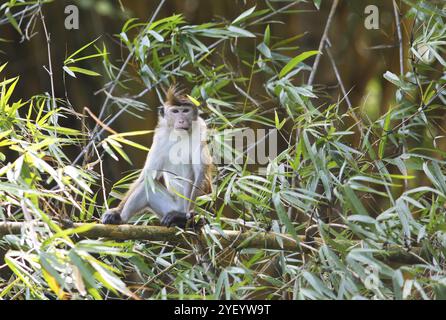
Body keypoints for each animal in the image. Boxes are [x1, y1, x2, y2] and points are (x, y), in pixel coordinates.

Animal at [101, 86, 213, 229]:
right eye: (175, 111)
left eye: (185, 111)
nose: (181, 120)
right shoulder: (160, 137)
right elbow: (146, 176)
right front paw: (116, 211)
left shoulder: (200, 129)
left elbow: (202, 175)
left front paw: (187, 216)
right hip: (168, 208)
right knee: (147, 185)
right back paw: (120, 218)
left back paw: (184, 218)